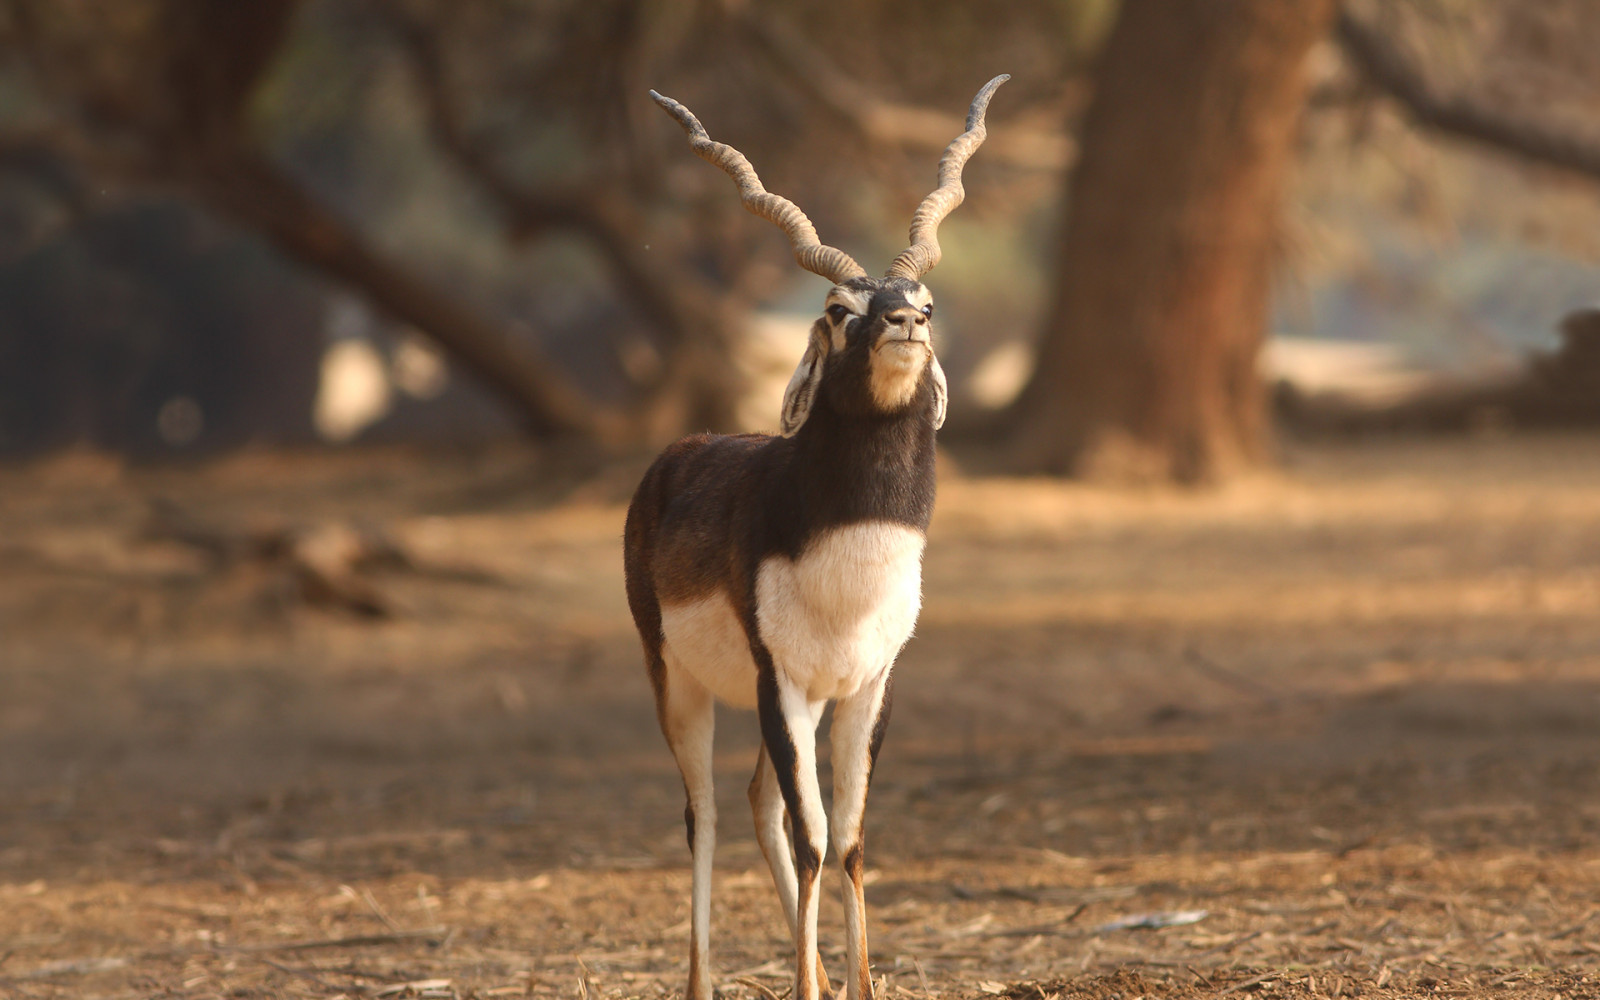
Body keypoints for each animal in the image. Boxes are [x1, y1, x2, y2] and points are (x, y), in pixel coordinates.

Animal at [627, 76, 1011, 998]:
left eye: (927, 304)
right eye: (839, 309)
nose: (906, 322)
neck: (850, 565)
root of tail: (681, 450)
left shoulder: (868, 685)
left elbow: (850, 841)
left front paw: (858, 985)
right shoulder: (783, 685)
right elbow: (812, 840)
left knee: (761, 802)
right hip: (677, 682)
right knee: (704, 812)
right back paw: (701, 983)